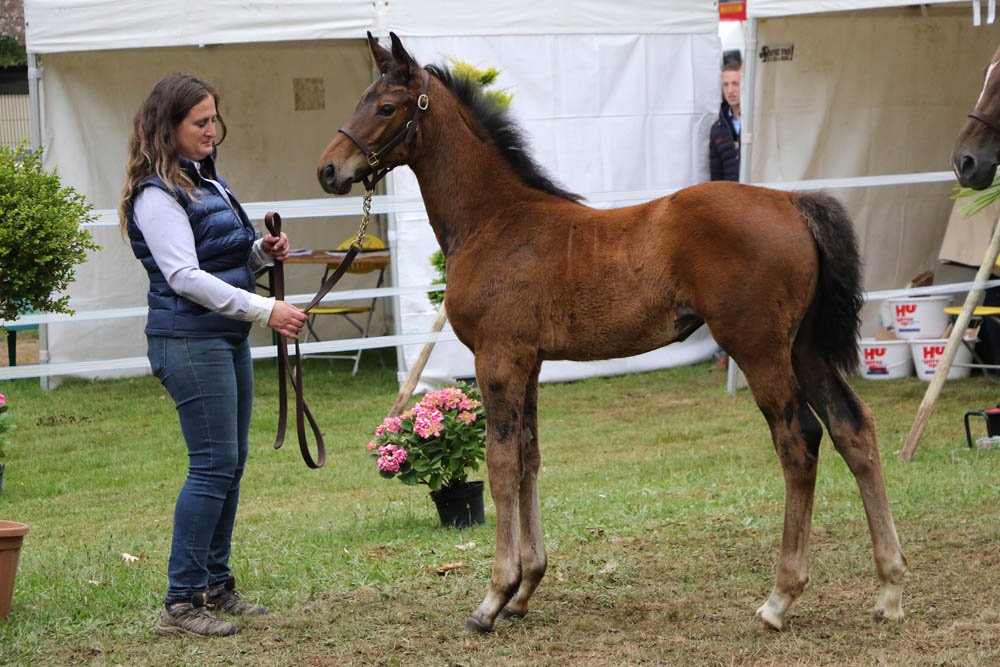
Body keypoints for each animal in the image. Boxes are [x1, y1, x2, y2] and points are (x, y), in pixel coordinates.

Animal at [317, 32, 907, 634]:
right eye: (363, 100)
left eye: (386, 107)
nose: (329, 170)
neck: (495, 222)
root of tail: (791, 201)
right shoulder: (529, 360)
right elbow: (529, 457)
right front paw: (525, 589)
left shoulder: (497, 356)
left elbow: (502, 464)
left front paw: (492, 598)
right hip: (804, 348)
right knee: (853, 430)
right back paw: (888, 589)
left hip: (760, 349)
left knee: (799, 442)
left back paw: (779, 599)